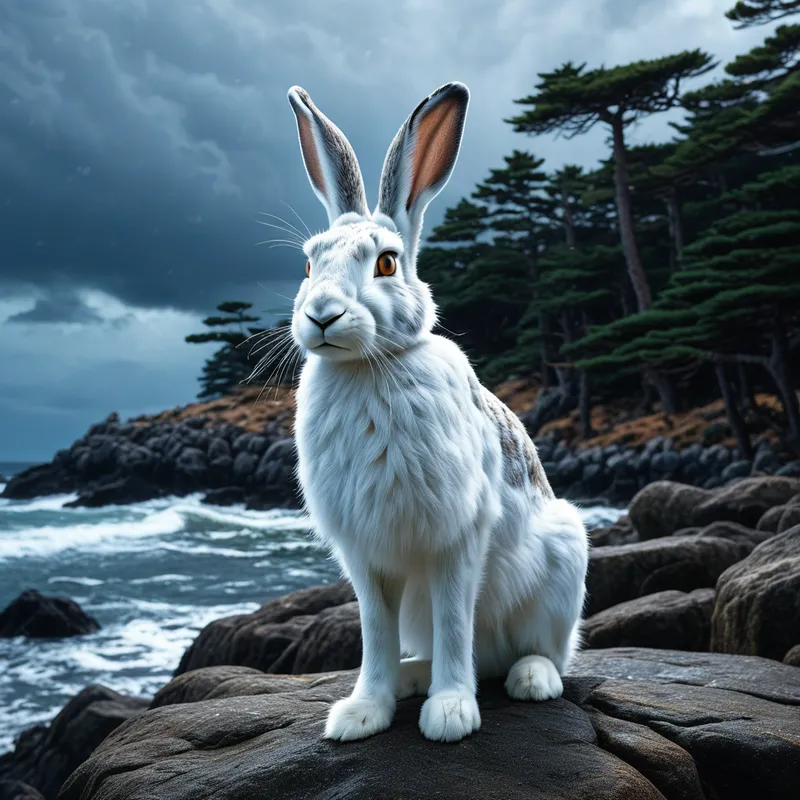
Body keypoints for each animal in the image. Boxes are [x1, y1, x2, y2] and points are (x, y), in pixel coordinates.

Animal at [286, 81, 589, 743]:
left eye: (386, 262)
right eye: (308, 264)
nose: (321, 314)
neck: (369, 364)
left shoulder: (457, 537)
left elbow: (455, 619)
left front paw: (451, 714)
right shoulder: (366, 557)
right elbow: (374, 632)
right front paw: (361, 713)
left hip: (564, 563)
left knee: (539, 652)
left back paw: (529, 679)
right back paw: (411, 679)